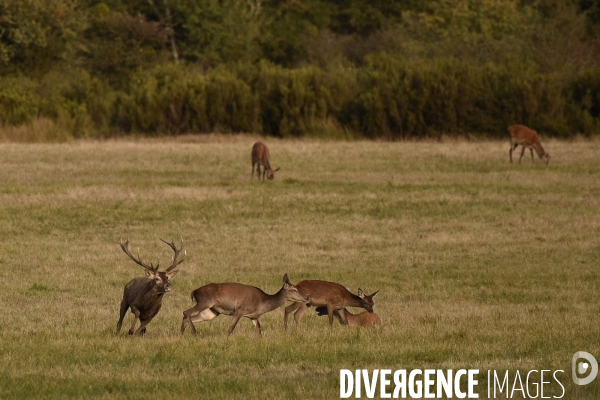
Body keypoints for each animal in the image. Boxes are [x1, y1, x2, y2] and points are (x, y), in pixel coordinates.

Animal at [179, 274, 308, 336]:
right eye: (294, 290)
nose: (306, 298)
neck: (261, 303)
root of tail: (194, 291)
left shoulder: (253, 316)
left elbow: (259, 330)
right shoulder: (240, 310)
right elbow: (231, 328)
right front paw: (226, 340)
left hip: (211, 312)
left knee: (187, 317)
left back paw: (181, 336)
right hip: (205, 301)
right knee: (186, 312)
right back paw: (193, 332)